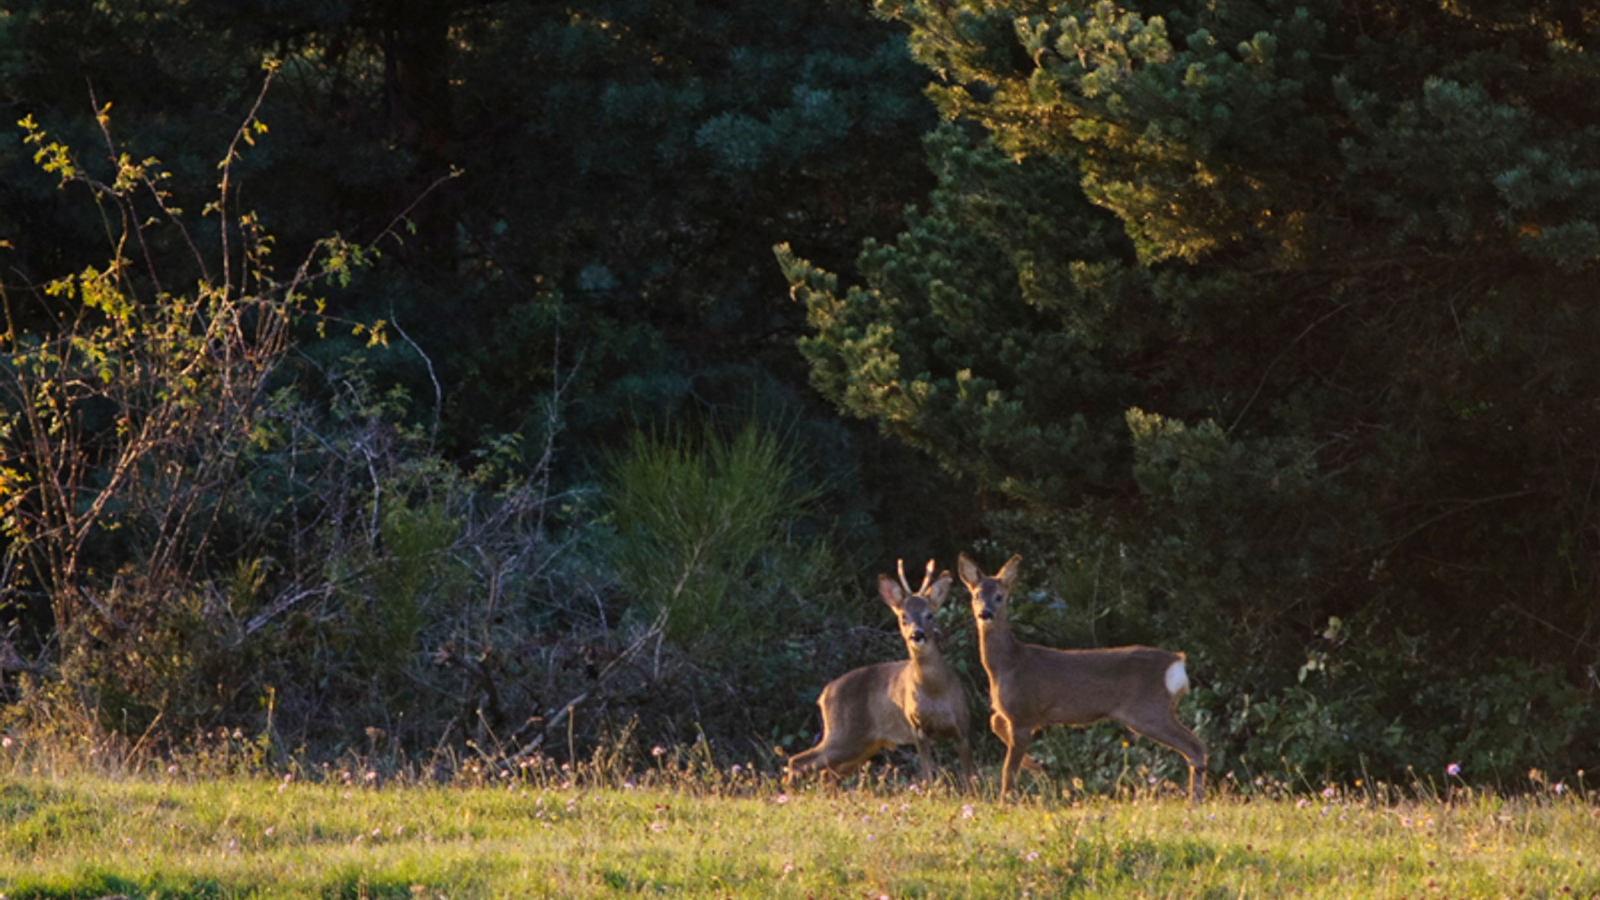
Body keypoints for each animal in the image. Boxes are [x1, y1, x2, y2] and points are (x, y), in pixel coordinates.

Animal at [784, 560, 972, 784]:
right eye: (903, 616)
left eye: (930, 615)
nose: (916, 634)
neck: (935, 691)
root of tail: (824, 694)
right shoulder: (916, 727)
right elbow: (927, 774)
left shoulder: (962, 727)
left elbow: (968, 777)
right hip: (842, 735)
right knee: (797, 762)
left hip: (861, 745)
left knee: (824, 773)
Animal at [953, 550, 1203, 800]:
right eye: (976, 595)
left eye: (999, 596)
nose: (985, 613)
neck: (1007, 665)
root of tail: (1176, 662)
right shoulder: (1018, 714)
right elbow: (994, 722)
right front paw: (1036, 764)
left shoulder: (1023, 713)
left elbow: (1007, 771)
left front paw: (1005, 801)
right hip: (1160, 710)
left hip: (1148, 710)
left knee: (1195, 746)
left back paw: (1194, 801)